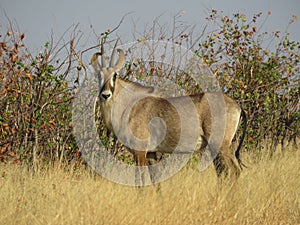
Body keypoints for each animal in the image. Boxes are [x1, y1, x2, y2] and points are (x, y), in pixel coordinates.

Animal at [91, 43, 246, 185]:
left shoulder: (140, 151)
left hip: (221, 146)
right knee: (223, 173)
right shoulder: (151, 154)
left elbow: (140, 181)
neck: (129, 104)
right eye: (99, 75)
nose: (105, 95)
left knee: (234, 171)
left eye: (115, 75)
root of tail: (237, 106)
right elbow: (155, 181)